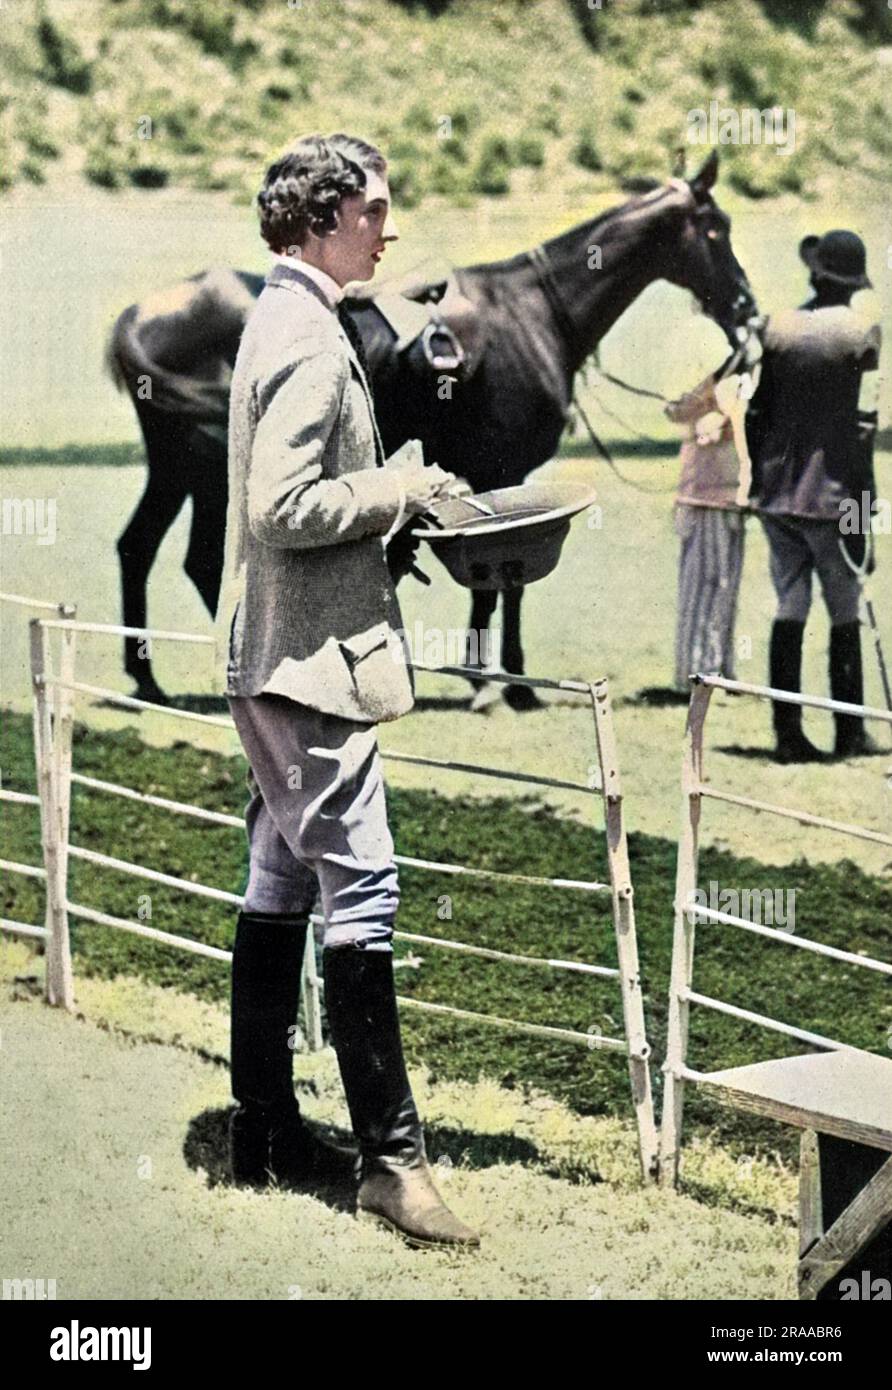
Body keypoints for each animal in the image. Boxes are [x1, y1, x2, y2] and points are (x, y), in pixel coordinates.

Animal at [107, 154, 755, 706]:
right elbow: (503, 586)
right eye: (714, 230)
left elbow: (498, 583)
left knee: (141, 546)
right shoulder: (503, 471)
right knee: (196, 560)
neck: (535, 314)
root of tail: (140, 315)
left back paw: (150, 680)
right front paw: (503, 685)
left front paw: (492, 678)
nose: (747, 308)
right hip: (205, 473)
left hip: (176, 469)